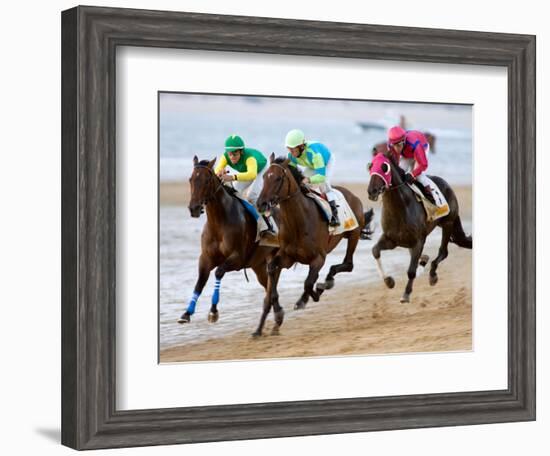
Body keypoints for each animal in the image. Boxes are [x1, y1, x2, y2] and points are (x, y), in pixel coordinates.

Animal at [179, 157, 278, 324]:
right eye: (191, 179)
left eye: (206, 180)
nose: (194, 208)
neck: (219, 223)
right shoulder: (206, 258)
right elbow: (200, 282)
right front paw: (187, 313)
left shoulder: (238, 258)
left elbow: (219, 272)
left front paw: (213, 311)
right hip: (259, 265)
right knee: (269, 286)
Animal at [256, 155, 376, 336]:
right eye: (263, 177)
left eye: (277, 178)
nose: (261, 204)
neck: (299, 222)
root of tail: (352, 195)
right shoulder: (287, 257)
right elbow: (272, 270)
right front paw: (278, 313)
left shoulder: (319, 258)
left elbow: (308, 283)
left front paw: (309, 296)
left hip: (353, 234)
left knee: (348, 264)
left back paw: (325, 283)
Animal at [368, 152, 472, 302]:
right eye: (370, 166)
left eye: (384, 167)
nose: (372, 191)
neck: (400, 208)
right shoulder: (391, 239)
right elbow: (375, 250)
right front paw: (389, 281)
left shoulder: (419, 241)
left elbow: (411, 271)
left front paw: (406, 294)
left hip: (448, 223)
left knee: (443, 252)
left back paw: (432, 275)